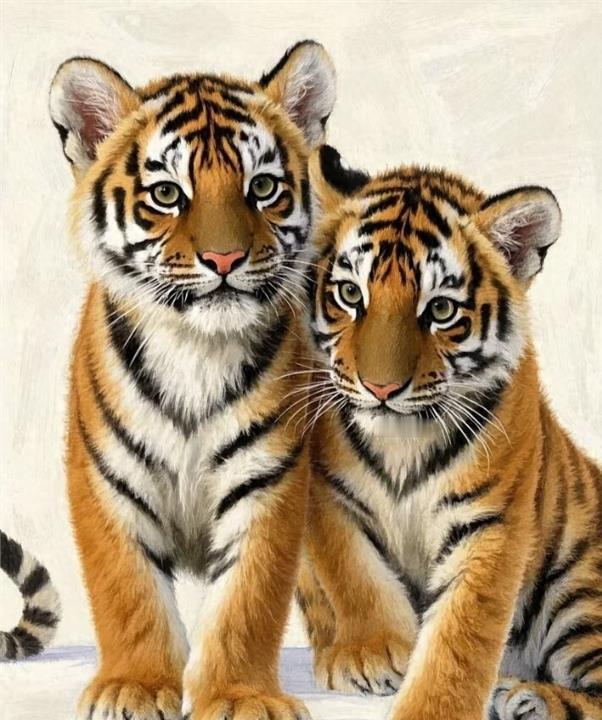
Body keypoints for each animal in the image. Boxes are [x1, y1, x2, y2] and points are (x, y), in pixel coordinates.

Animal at [48, 41, 335, 720]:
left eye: (263, 188)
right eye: (166, 194)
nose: (225, 259)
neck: (195, 349)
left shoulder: (269, 477)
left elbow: (247, 600)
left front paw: (239, 696)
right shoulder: (107, 479)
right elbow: (128, 590)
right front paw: (135, 686)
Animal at [296, 145, 602, 720]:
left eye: (440, 309)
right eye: (349, 294)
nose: (380, 387)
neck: (402, 438)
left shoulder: (490, 523)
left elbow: (462, 634)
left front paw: (433, 707)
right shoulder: (328, 495)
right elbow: (355, 573)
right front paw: (374, 654)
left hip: (577, 586)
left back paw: (527, 696)